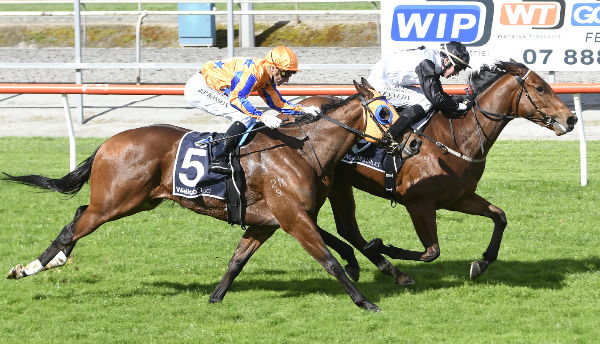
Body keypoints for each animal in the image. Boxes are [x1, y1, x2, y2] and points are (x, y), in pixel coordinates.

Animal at [3, 78, 404, 312]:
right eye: (385, 112)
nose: (410, 143)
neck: (303, 150)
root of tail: (107, 143)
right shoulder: (291, 216)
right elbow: (329, 258)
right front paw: (365, 300)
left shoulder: (270, 220)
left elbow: (238, 260)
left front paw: (215, 296)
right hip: (117, 203)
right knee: (73, 226)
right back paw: (28, 268)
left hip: (131, 201)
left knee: (79, 214)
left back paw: (53, 261)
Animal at [322, 60, 580, 284]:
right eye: (540, 87)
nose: (571, 118)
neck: (456, 140)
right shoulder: (418, 203)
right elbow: (432, 252)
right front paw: (381, 245)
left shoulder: (459, 198)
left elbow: (500, 216)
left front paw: (481, 263)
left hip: (337, 184)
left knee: (346, 228)